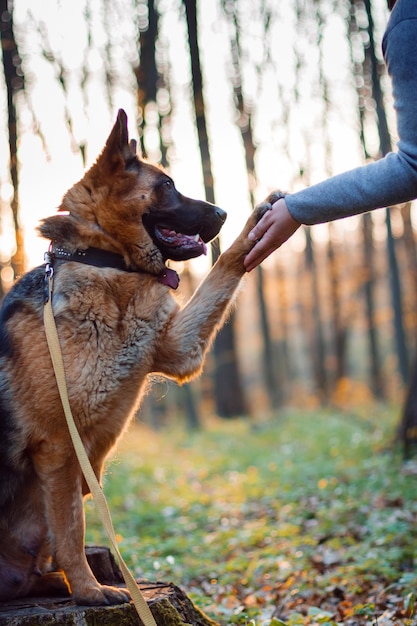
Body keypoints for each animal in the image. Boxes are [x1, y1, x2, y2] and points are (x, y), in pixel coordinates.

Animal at [0, 109, 266, 604]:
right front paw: (88, 590)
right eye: (168, 186)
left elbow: (225, 267)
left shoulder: (179, 348)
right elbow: (73, 529)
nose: (224, 212)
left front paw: (261, 222)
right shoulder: (58, 446)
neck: (106, 264)